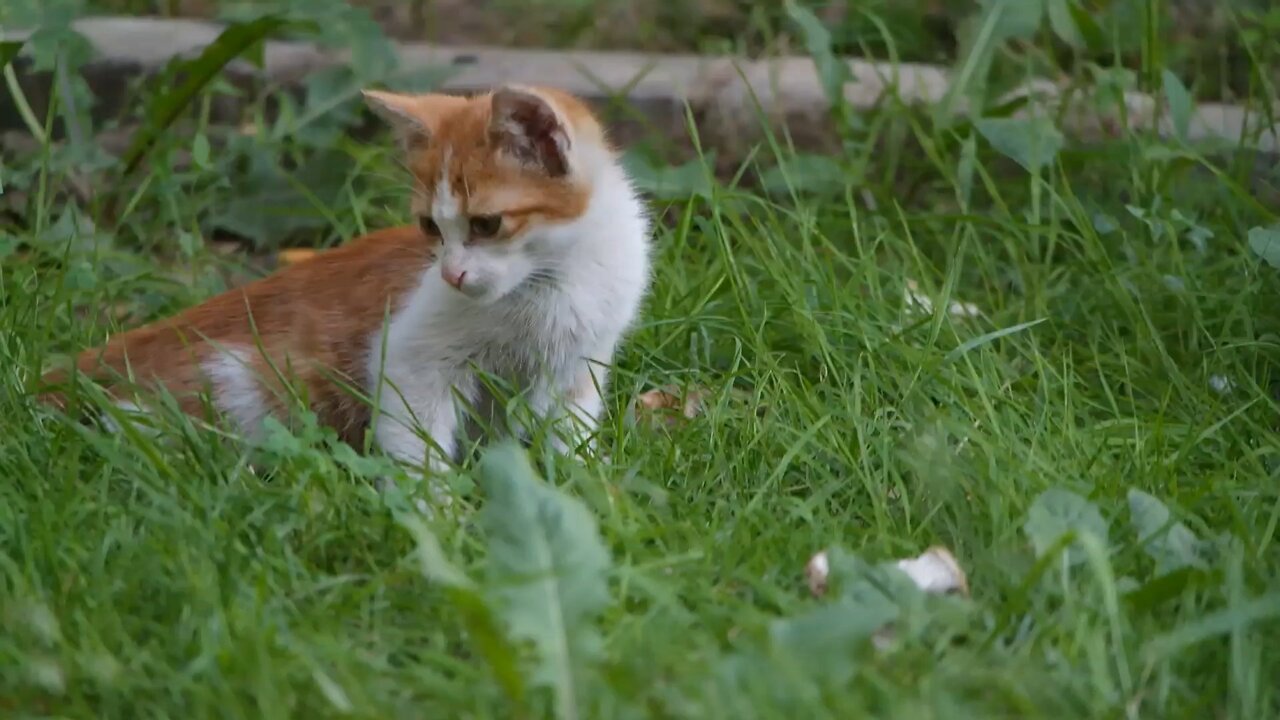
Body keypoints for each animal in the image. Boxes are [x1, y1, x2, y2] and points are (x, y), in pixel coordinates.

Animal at [40, 87, 650, 484]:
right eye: (430, 227)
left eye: (486, 224)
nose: (451, 274)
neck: (558, 280)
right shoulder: (407, 356)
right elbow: (417, 440)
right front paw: (435, 514)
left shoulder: (581, 366)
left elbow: (570, 435)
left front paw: (588, 486)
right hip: (245, 384)